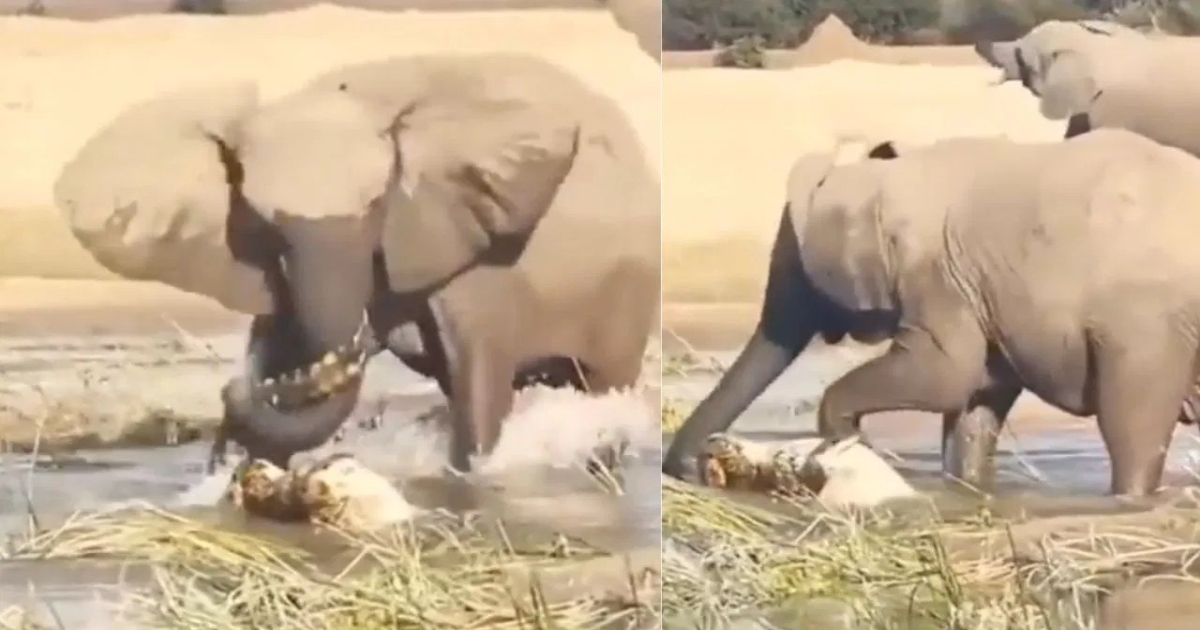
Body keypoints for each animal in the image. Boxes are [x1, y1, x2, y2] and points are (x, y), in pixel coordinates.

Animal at [55, 54, 660, 473]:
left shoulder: (470, 244)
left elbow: (480, 384)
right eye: (263, 225)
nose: (235, 389)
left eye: (377, 206)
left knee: (602, 381)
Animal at [663, 129, 1200, 497]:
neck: (888, 175)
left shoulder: (937, 275)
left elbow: (945, 374)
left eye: (795, 264)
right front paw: (965, 490)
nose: (692, 468)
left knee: (1132, 427)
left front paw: (840, 437)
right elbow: (976, 398)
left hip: (1143, 326)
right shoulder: (977, 288)